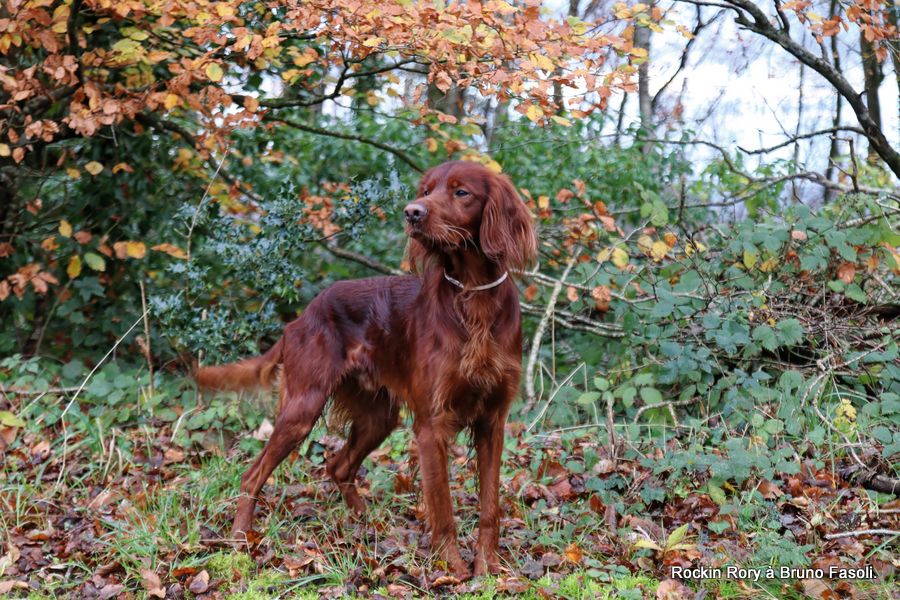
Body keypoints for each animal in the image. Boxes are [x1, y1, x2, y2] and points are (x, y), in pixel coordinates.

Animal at [197, 159, 536, 576]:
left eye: (461, 192)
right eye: (425, 191)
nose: (412, 212)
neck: (473, 294)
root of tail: (303, 316)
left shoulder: (492, 421)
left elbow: (490, 505)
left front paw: (487, 569)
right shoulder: (431, 426)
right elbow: (443, 509)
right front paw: (454, 569)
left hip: (378, 417)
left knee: (338, 467)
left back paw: (365, 523)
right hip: (302, 408)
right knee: (252, 475)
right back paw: (240, 539)